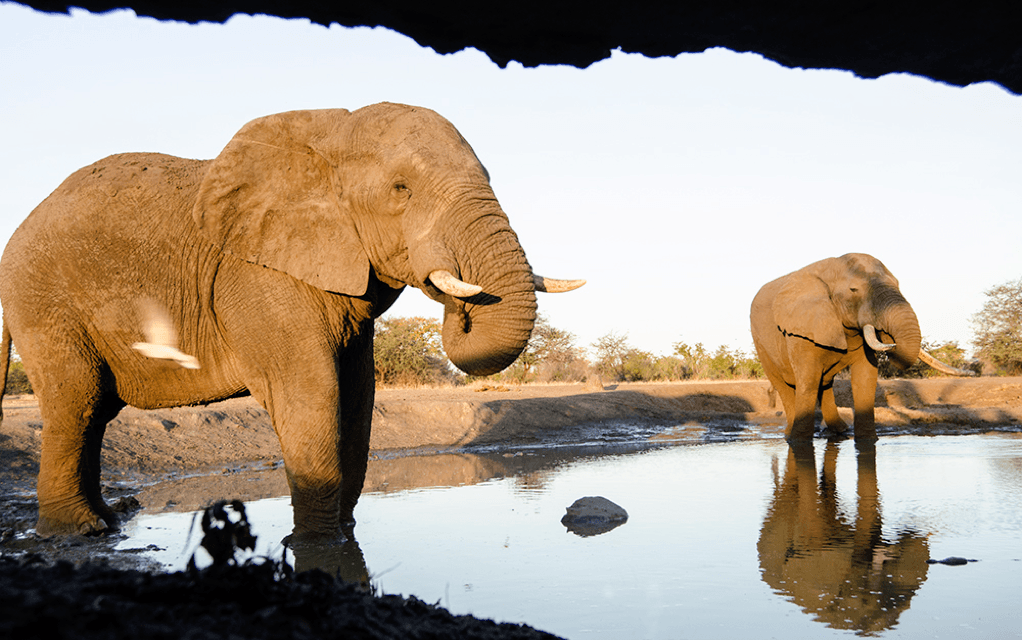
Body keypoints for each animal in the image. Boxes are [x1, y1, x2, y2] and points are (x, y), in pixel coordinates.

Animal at [0, 102, 588, 535]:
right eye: (401, 190)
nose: (461, 303)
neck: (328, 138)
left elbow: (357, 394)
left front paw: (342, 534)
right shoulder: (257, 275)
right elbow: (312, 391)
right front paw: (317, 541)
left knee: (94, 412)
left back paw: (108, 520)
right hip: (43, 301)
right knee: (78, 400)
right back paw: (81, 530)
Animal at [756, 251, 968, 441]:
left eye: (898, 284)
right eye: (853, 290)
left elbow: (865, 378)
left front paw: (867, 439)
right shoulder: (801, 328)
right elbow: (808, 381)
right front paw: (798, 441)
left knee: (825, 382)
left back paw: (839, 430)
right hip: (760, 344)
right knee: (783, 385)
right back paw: (790, 434)